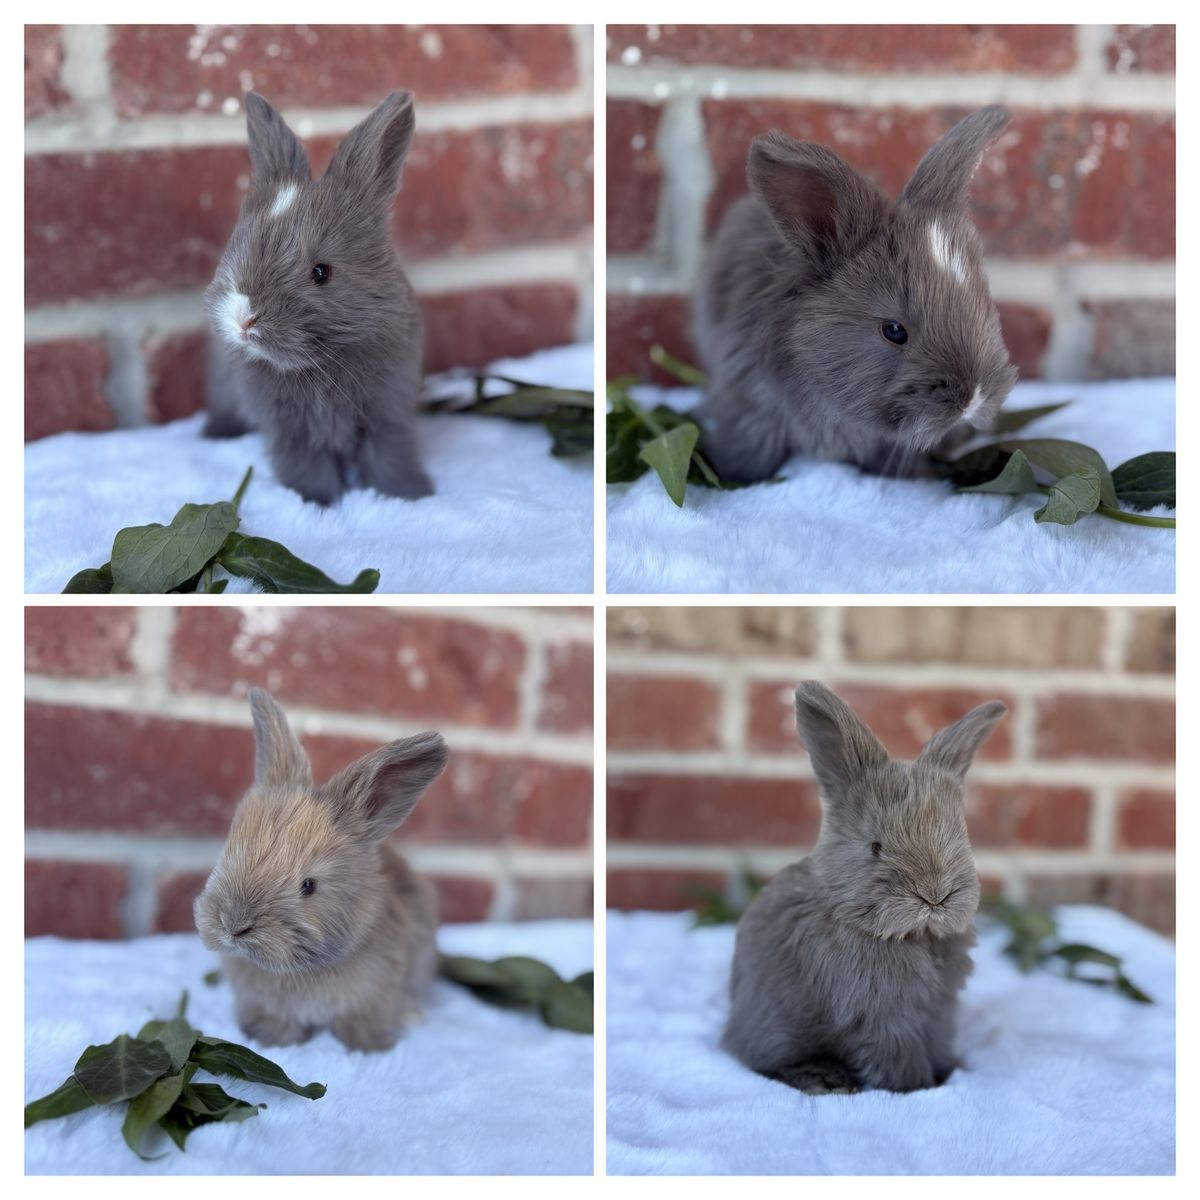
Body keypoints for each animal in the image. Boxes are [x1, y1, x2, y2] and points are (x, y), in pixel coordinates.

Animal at [193, 689, 447, 1052]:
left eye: (308, 885)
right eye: (229, 850)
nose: (233, 925)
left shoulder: (374, 998)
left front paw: (368, 1048)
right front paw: (273, 1040)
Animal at [202, 90, 430, 506]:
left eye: (321, 272)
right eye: (235, 247)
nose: (243, 317)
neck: (322, 363)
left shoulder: (388, 414)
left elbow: (391, 457)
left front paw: (410, 496)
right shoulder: (289, 430)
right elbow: (305, 467)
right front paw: (317, 504)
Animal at [723, 681, 1006, 1094]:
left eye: (961, 837)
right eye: (876, 847)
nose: (935, 896)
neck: (912, 936)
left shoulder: (939, 1010)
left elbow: (936, 1042)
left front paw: (945, 1073)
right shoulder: (880, 1014)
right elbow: (898, 1055)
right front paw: (917, 1087)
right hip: (776, 1029)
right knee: (765, 1061)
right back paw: (824, 1079)